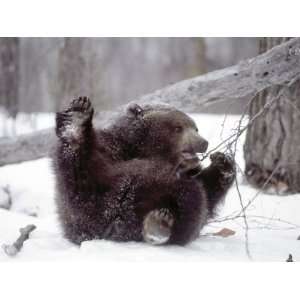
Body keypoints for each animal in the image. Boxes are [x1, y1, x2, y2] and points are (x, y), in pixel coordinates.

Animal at [52, 97, 234, 245]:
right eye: (178, 128)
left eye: (195, 128)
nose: (203, 143)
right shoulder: (109, 151)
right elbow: (79, 180)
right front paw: (76, 118)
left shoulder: (190, 173)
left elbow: (207, 193)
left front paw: (224, 163)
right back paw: (76, 120)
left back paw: (158, 224)